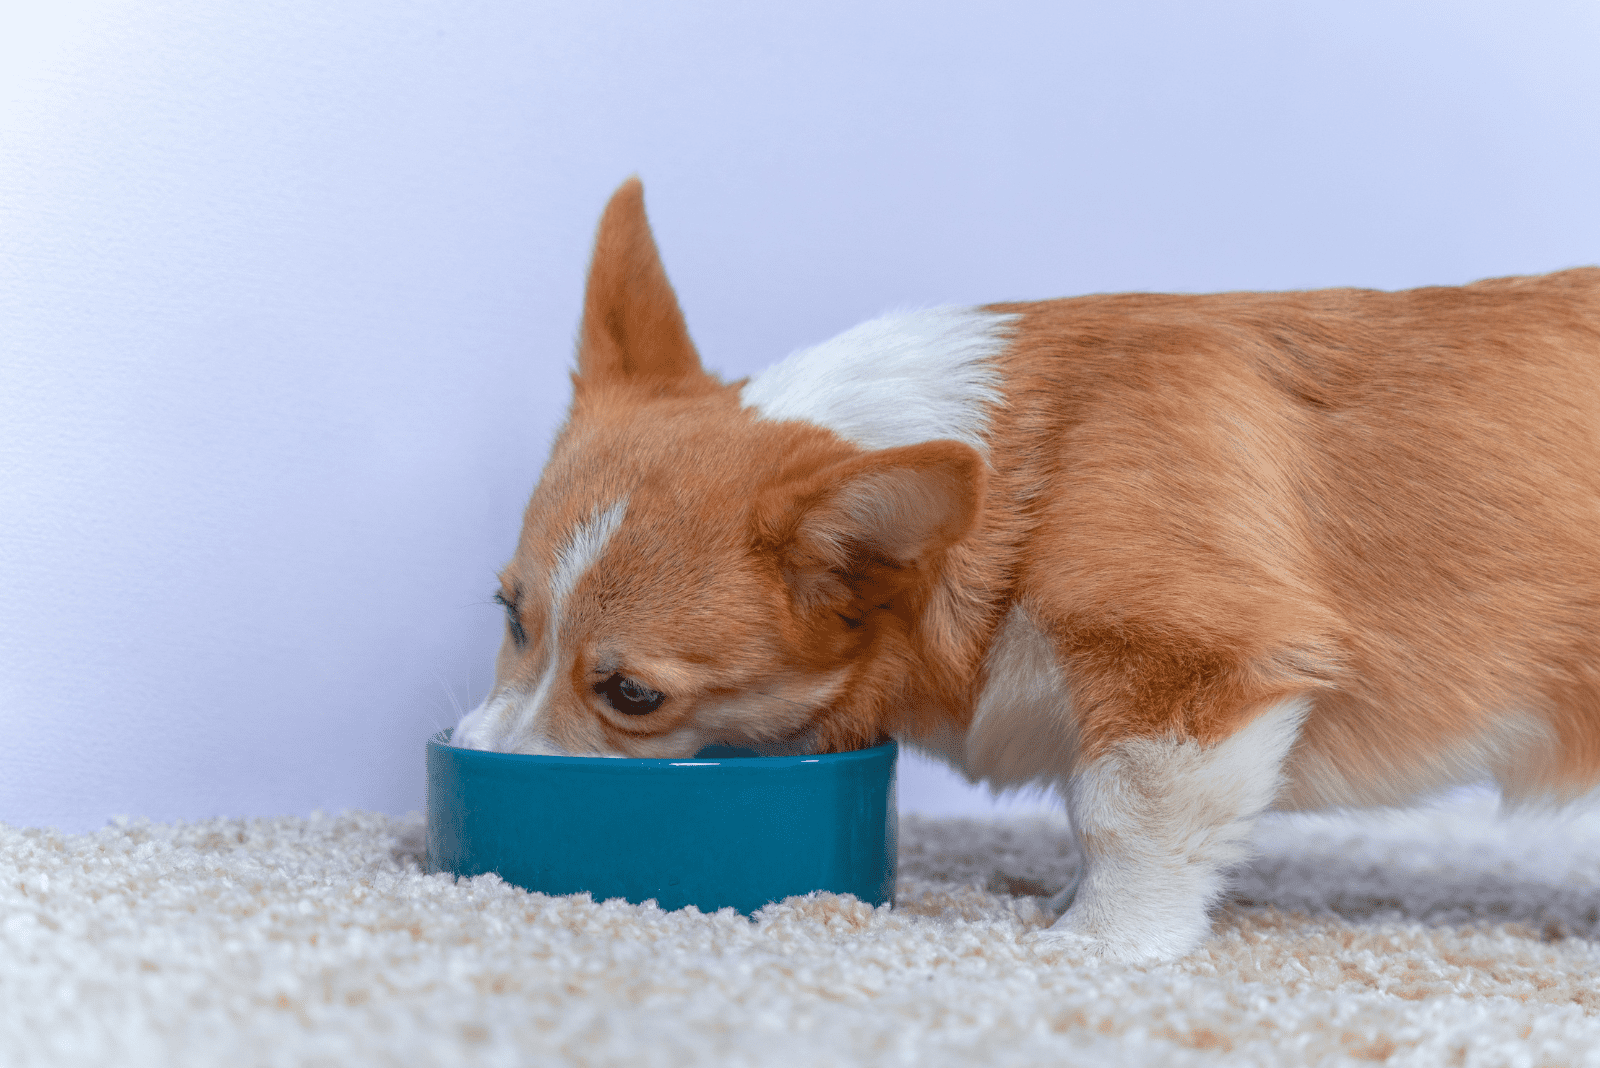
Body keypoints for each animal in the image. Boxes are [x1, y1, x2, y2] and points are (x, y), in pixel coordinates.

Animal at [454, 179, 1600, 965]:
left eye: (631, 694)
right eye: (509, 616)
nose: (469, 759)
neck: (1019, 486)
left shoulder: (1193, 671)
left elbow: (1123, 815)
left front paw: (1096, 943)